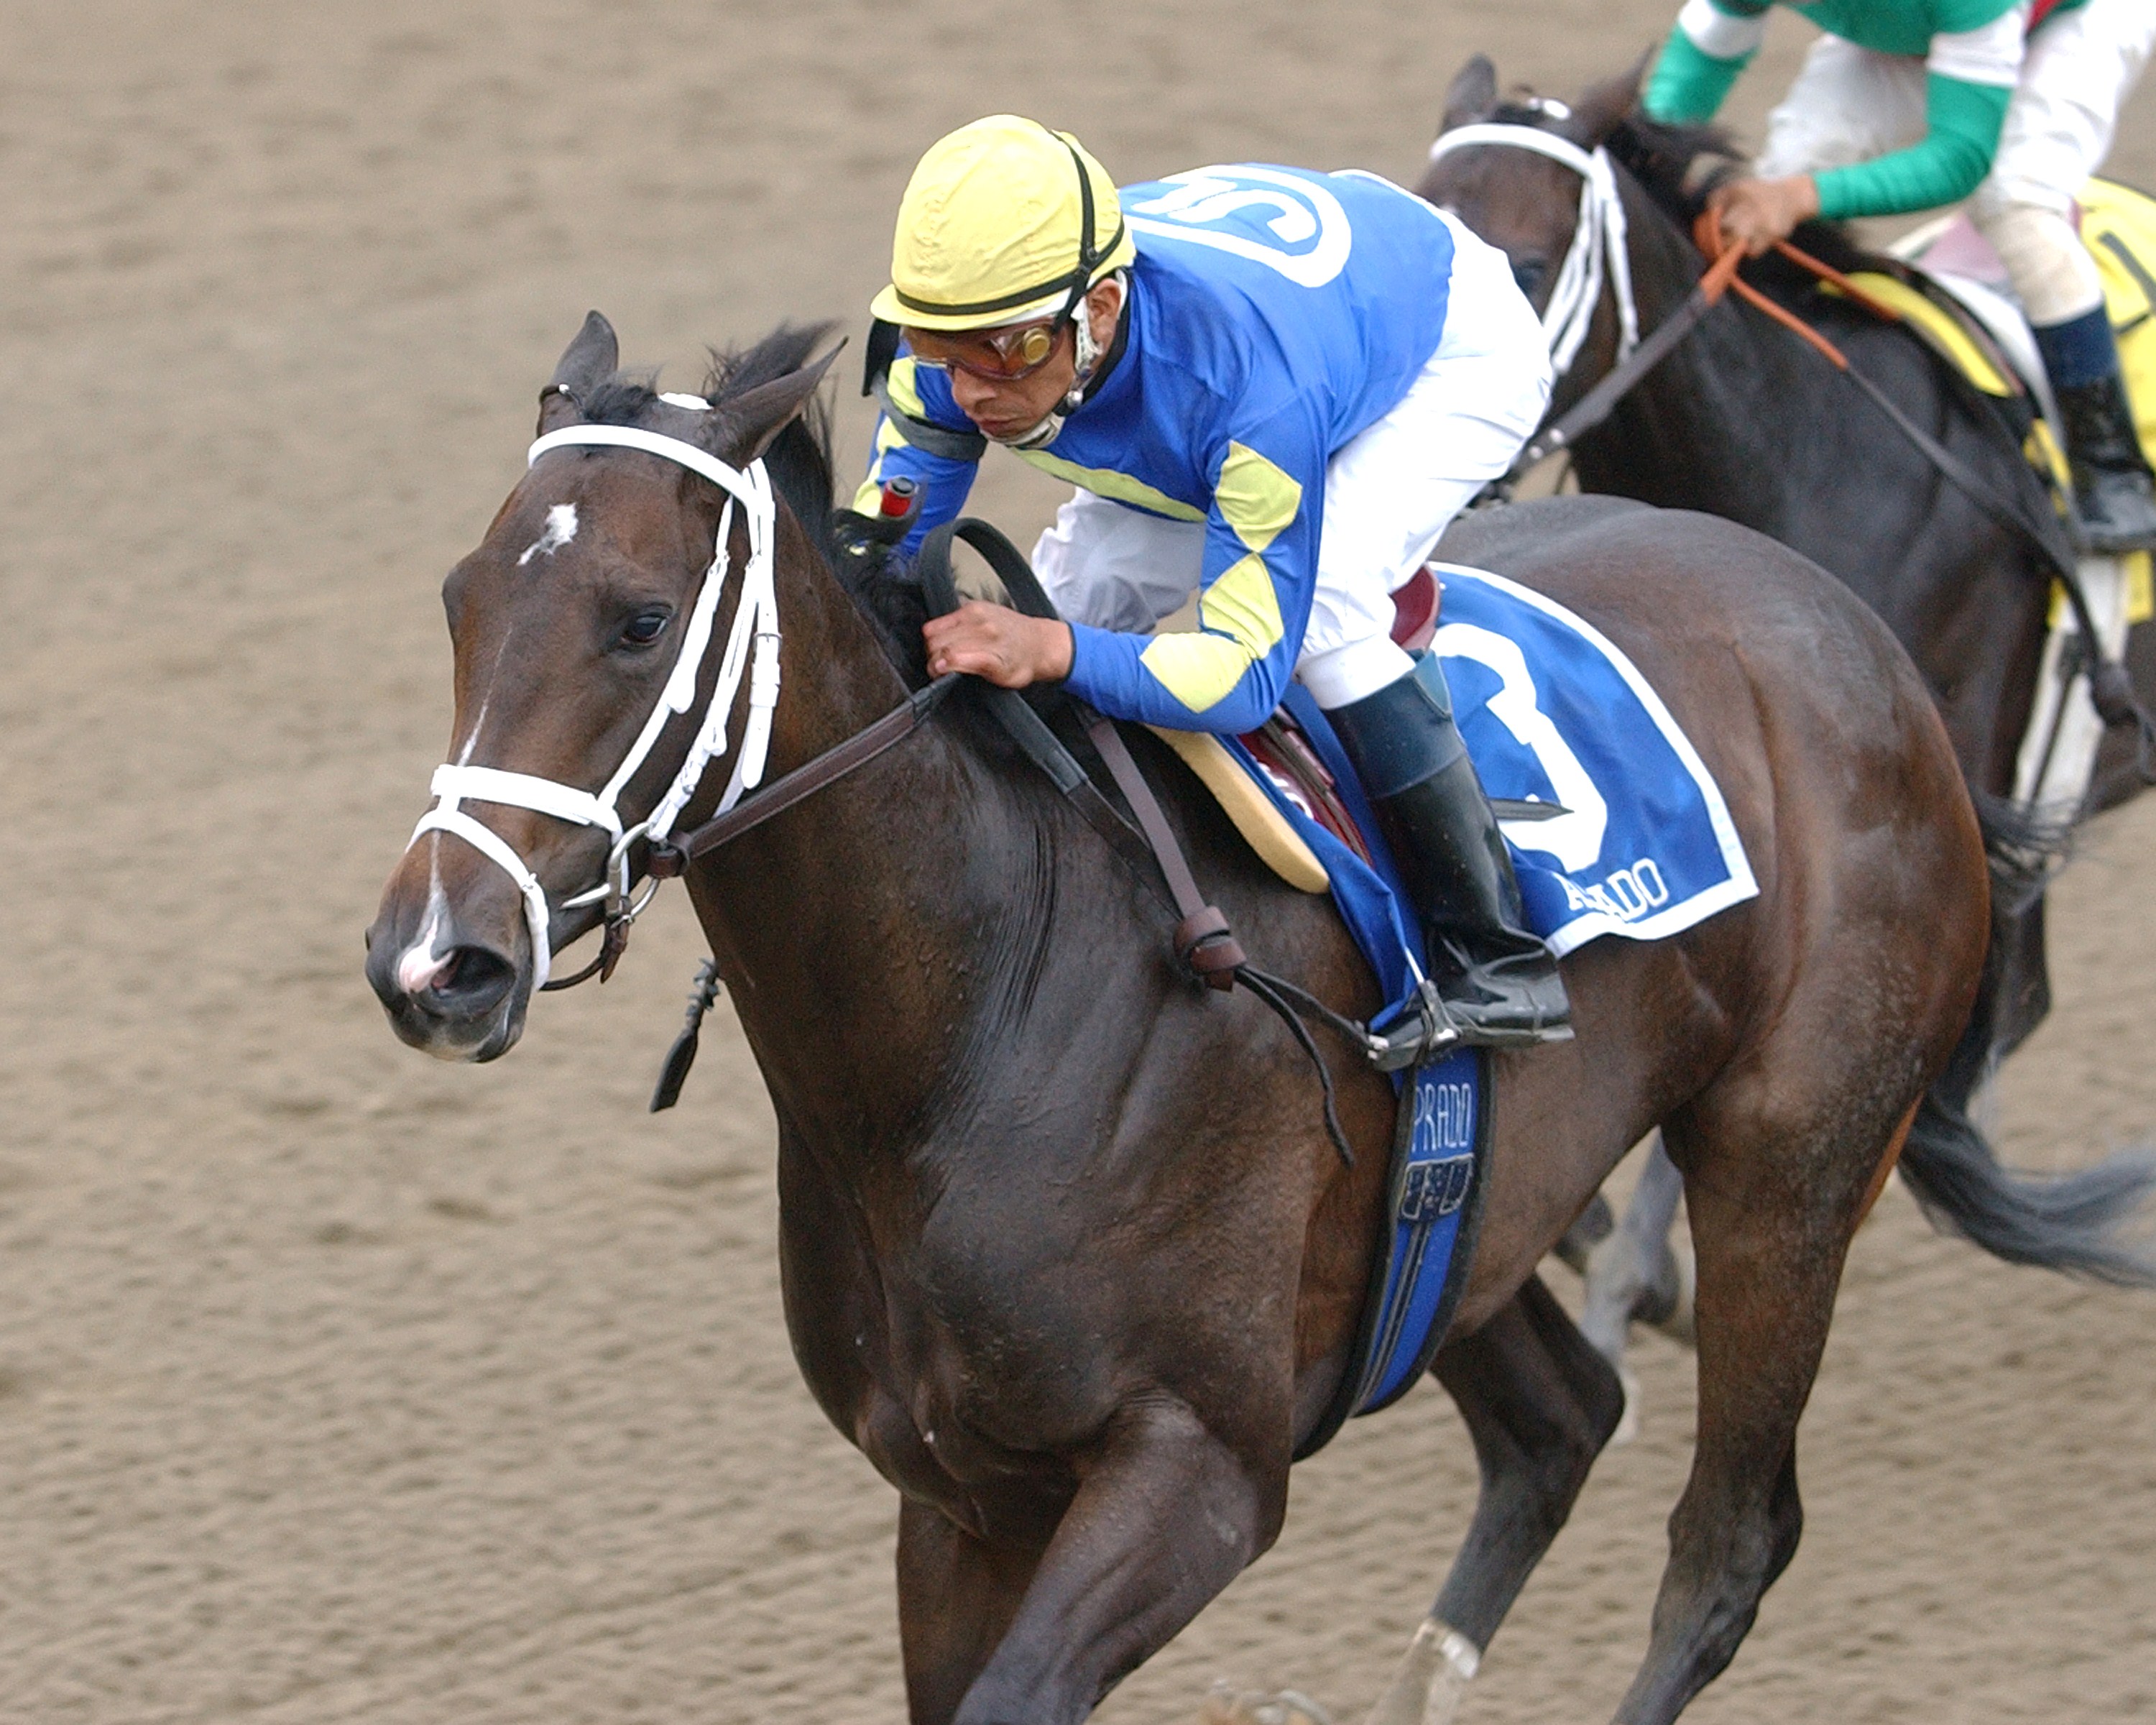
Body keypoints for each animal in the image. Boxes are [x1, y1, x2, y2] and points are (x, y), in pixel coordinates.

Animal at [362, 317, 2130, 1716]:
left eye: (639, 619)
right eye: (455, 600)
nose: (435, 960)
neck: (978, 1014)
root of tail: (1858, 641)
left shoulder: (1197, 1469)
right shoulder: (959, 1496)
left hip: (1790, 1162)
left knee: (1725, 1547)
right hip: (1460, 1219)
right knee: (1562, 1425)